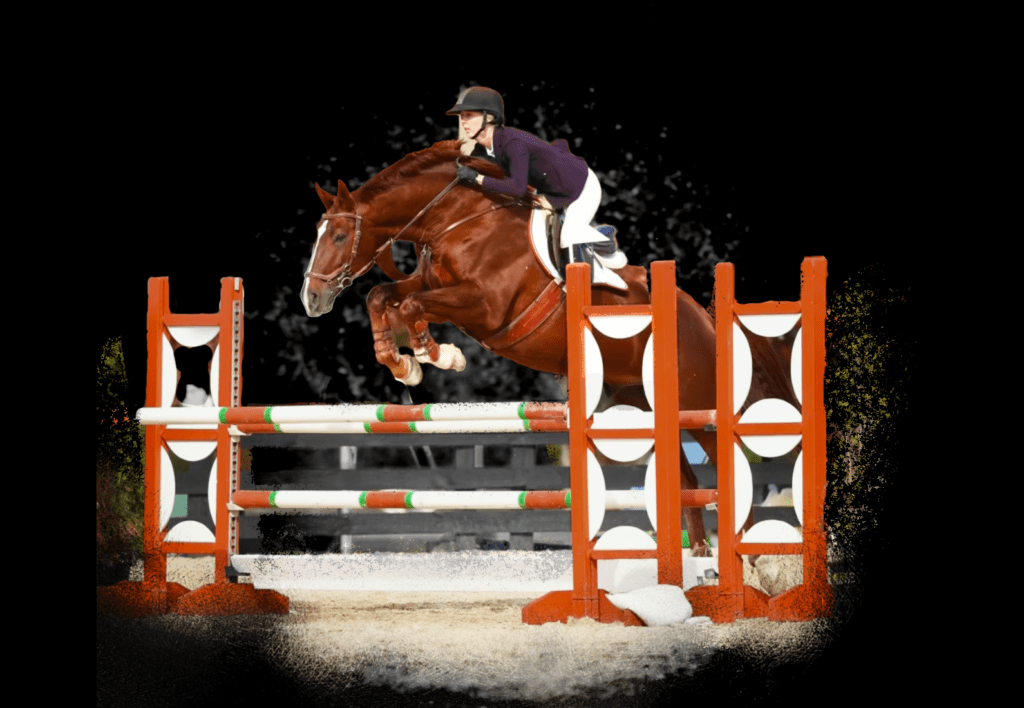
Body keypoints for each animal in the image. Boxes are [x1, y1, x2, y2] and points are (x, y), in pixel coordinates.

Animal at [300, 140, 797, 559]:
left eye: (339, 237)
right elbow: (383, 296)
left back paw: (747, 558)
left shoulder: (485, 306)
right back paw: (699, 562)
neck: (457, 221)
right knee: (688, 480)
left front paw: (436, 356)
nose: (312, 299)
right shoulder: (432, 284)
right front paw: (403, 363)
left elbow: (411, 304)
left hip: (698, 401)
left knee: (730, 470)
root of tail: (705, 319)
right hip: (646, 403)